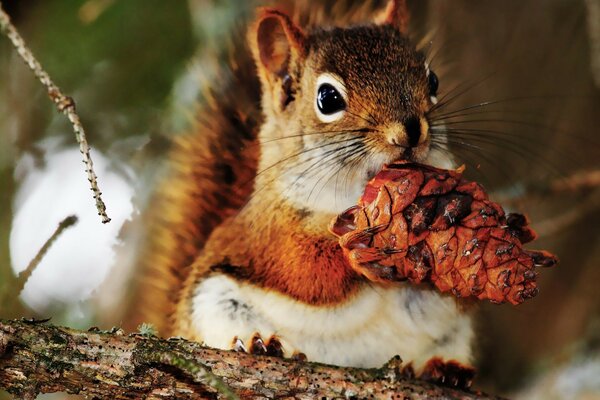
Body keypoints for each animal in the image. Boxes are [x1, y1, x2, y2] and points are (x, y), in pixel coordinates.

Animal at [130, 0, 474, 382]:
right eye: (328, 98)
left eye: (433, 80)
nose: (411, 131)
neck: (355, 195)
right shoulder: (270, 233)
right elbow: (305, 268)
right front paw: (356, 248)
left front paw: (447, 214)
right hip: (213, 302)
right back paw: (260, 343)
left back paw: (441, 369)